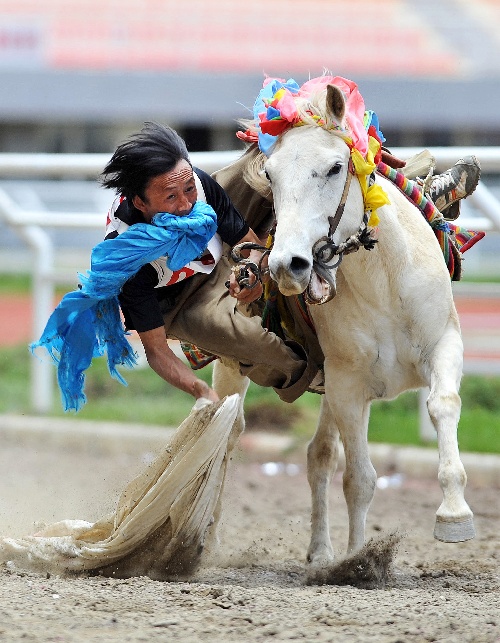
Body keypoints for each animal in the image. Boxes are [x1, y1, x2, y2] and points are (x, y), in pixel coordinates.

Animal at [209, 79, 474, 564]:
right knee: (230, 433)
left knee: (318, 454)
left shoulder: (444, 344)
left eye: (335, 167)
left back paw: (319, 551)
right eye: (270, 175)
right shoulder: (348, 385)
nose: (286, 265)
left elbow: (441, 405)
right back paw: (209, 541)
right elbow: (360, 479)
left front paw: (453, 514)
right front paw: (357, 563)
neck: (385, 284)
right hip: (235, 366)